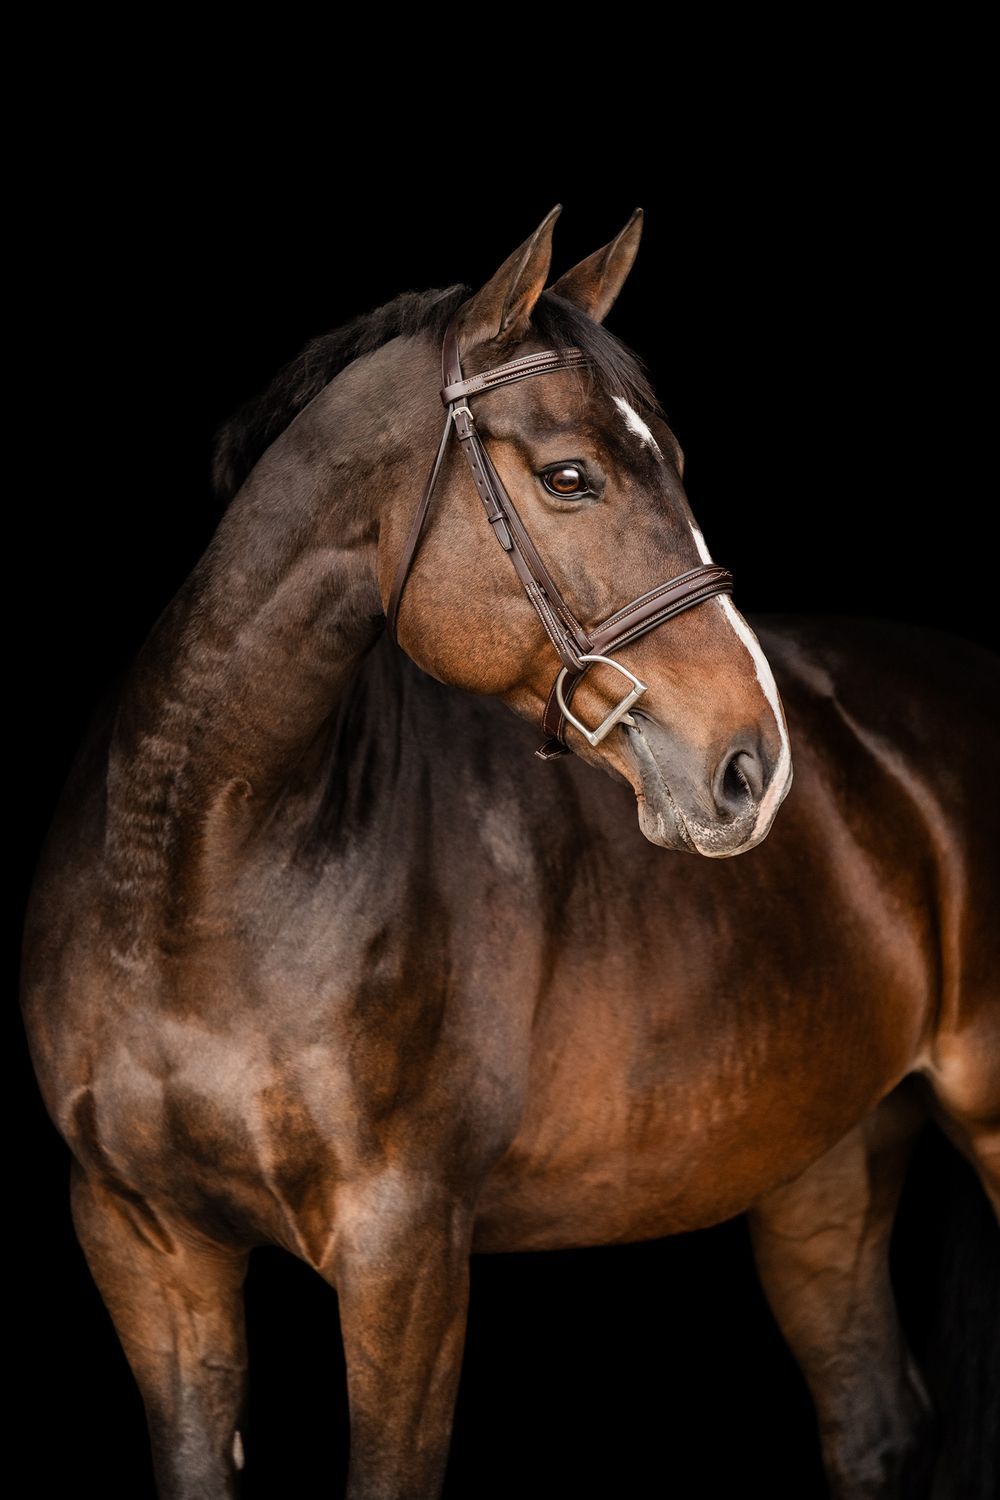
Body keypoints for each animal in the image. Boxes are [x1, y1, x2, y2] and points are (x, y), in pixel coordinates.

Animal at [19, 203, 999, 1499]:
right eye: (569, 475)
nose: (753, 765)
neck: (198, 889)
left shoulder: (406, 1253)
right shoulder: (146, 1243)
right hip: (824, 1161)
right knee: (873, 1425)